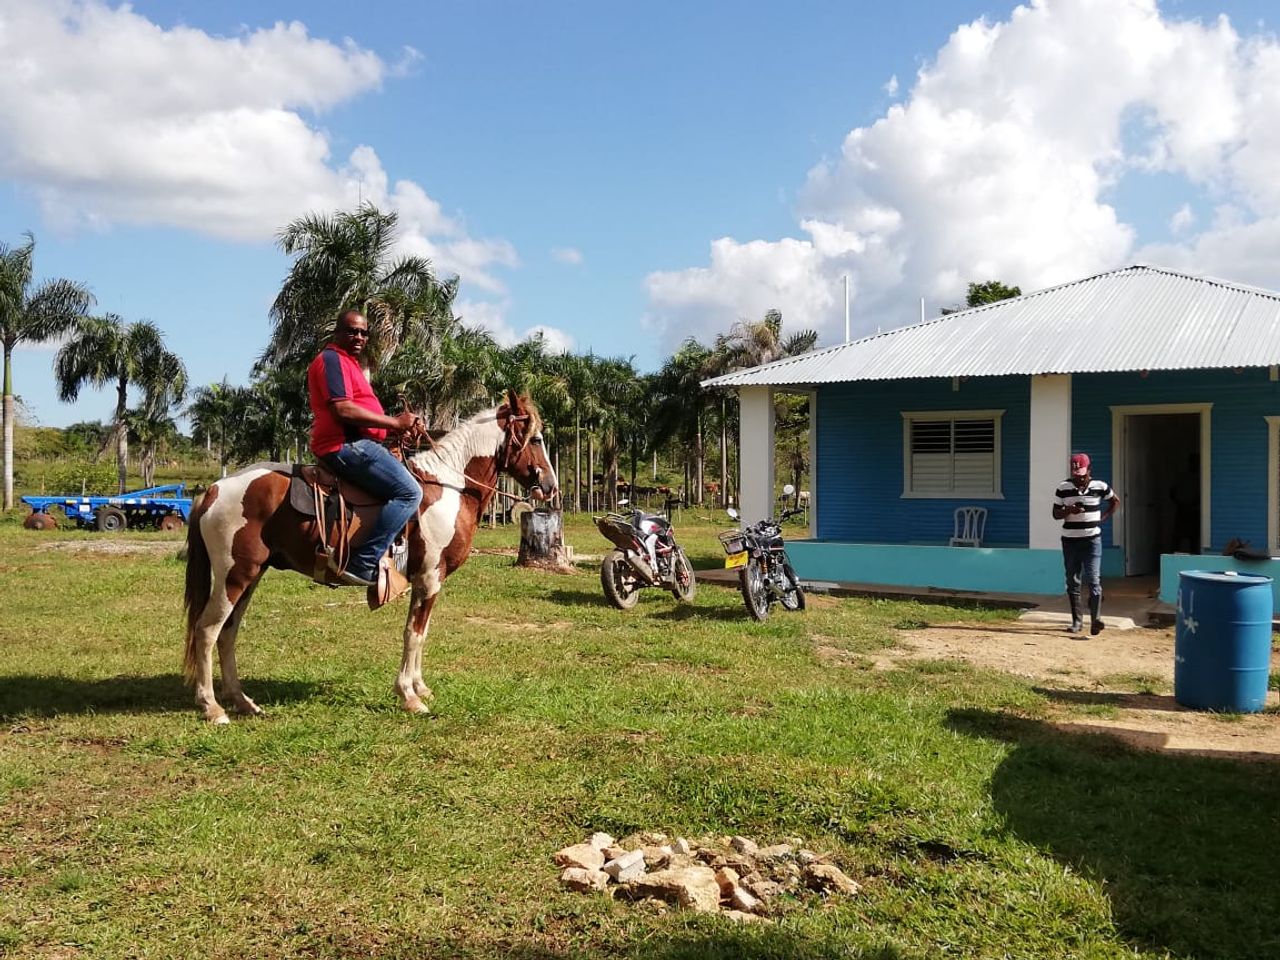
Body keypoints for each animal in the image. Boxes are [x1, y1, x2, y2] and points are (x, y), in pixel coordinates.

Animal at [179, 389, 555, 721]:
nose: (551, 487)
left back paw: (242, 702)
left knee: (228, 632)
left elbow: (420, 633)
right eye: (536, 439)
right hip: (234, 575)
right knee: (207, 630)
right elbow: (413, 634)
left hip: (251, 575)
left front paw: (420, 687)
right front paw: (409, 696)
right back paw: (212, 707)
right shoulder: (430, 576)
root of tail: (213, 490)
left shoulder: (424, 580)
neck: (449, 487)